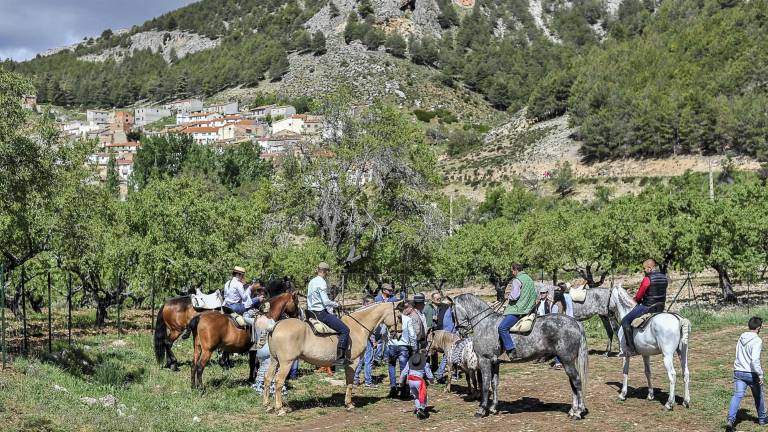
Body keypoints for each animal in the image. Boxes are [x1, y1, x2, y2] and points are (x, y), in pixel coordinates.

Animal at [262, 300, 400, 416]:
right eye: (399, 316)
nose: (398, 334)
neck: (357, 327)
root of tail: (276, 325)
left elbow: (348, 381)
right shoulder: (353, 362)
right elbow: (350, 383)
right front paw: (349, 404)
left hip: (274, 361)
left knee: (268, 379)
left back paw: (267, 406)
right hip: (286, 363)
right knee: (278, 381)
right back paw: (280, 409)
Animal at [452, 294, 592, 418]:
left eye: (452, 312)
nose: (460, 331)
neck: (485, 323)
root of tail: (575, 322)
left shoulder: (484, 360)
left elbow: (485, 385)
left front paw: (481, 410)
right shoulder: (495, 362)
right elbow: (494, 383)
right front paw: (493, 408)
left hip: (567, 360)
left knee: (577, 381)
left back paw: (578, 412)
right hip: (567, 361)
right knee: (572, 383)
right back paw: (573, 410)